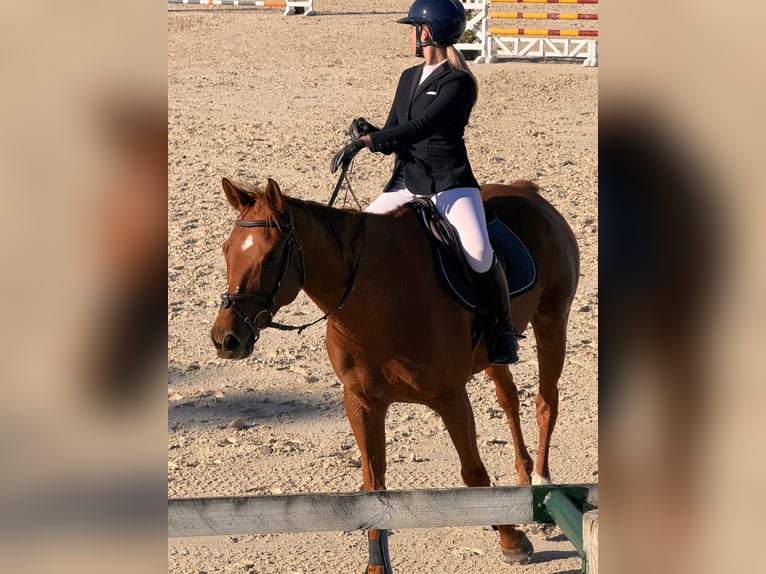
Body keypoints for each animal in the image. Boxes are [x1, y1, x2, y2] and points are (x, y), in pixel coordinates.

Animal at [210, 178, 584, 572]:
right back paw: (524, 480)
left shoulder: (451, 399)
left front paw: (511, 539)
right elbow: (373, 486)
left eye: (271, 256)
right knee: (509, 399)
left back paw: (541, 482)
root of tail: (526, 191)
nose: (225, 339)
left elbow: (473, 472)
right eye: (226, 250)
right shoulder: (362, 402)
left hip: (552, 323)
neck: (377, 303)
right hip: (495, 354)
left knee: (546, 402)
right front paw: (377, 564)